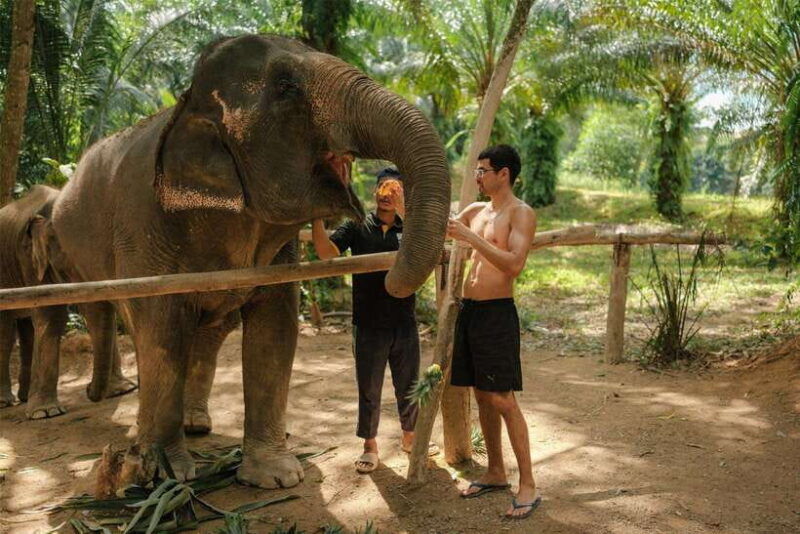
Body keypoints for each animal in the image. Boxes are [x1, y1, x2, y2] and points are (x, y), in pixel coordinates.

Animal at [0, 185, 136, 418]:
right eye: (73, 263)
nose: (88, 389)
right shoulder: (30, 259)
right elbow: (52, 315)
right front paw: (47, 413)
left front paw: (122, 390)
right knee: (6, 331)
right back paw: (6, 403)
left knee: (27, 328)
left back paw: (25, 398)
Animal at [51, 34, 450, 488]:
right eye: (286, 87)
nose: (390, 272)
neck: (188, 104)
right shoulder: (144, 227)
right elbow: (161, 331)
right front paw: (169, 477)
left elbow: (274, 332)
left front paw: (276, 477)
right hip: (78, 255)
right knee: (118, 317)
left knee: (208, 331)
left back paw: (195, 424)